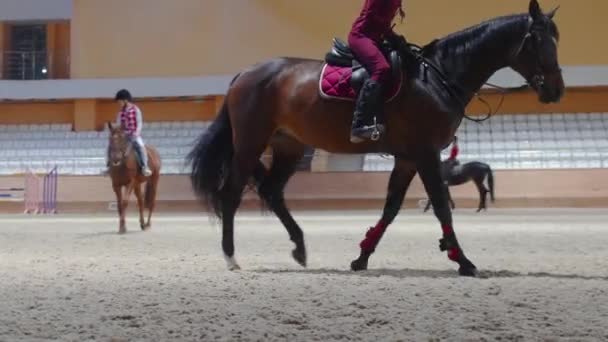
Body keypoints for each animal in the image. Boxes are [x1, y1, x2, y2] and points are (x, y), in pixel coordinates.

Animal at [188, 0, 564, 276]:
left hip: (288, 146)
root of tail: (245, 73)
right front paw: (463, 261)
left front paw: (362, 257)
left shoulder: (408, 158)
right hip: (250, 144)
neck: (438, 77)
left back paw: (300, 247)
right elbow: (441, 205)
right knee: (231, 194)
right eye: (539, 42)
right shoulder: (426, 154)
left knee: (271, 191)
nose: (556, 90)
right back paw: (231, 258)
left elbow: (391, 208)